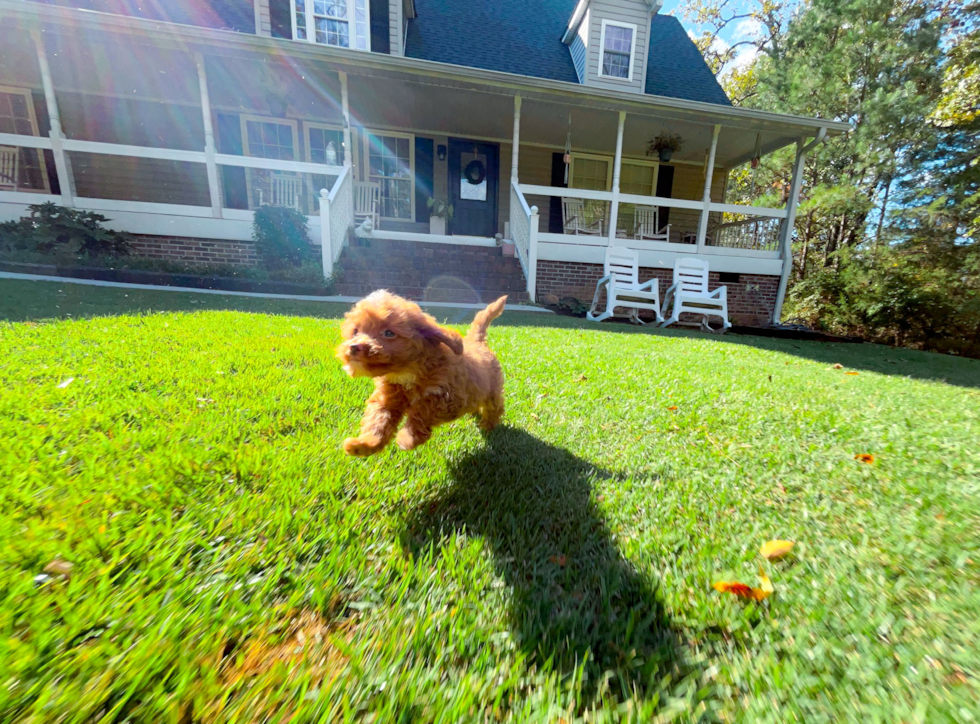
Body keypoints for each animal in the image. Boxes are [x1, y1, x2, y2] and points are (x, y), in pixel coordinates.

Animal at [334, 290, 506, 456]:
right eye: (355, 331)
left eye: (389, 333)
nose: (354, 347)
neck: (407, 372)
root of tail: (477, 342)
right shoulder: (387, 399)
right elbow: (378, 420)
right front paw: (364, 444)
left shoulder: (450, 398)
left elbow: (423, 410)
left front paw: (408, 437)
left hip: (493, 390)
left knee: (495, 407)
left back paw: (488, 425)